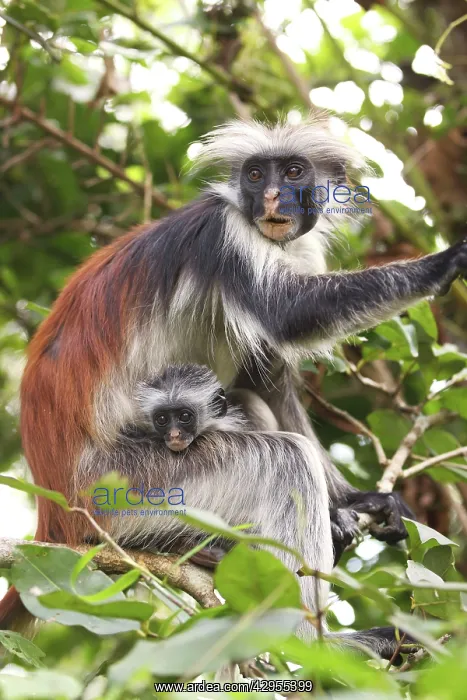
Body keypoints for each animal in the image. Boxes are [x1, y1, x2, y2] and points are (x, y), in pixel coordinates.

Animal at [1, 116, 464, 659]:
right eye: (255, 175)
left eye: (292, 172)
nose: (270, 197)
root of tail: (54, 514)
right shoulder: (228, 236)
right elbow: (290, 314)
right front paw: (444, 263)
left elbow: (266, 379)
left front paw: (356, 502)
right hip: (123, 487)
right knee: (285, 460)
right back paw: (311, 642)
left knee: (249, 403)